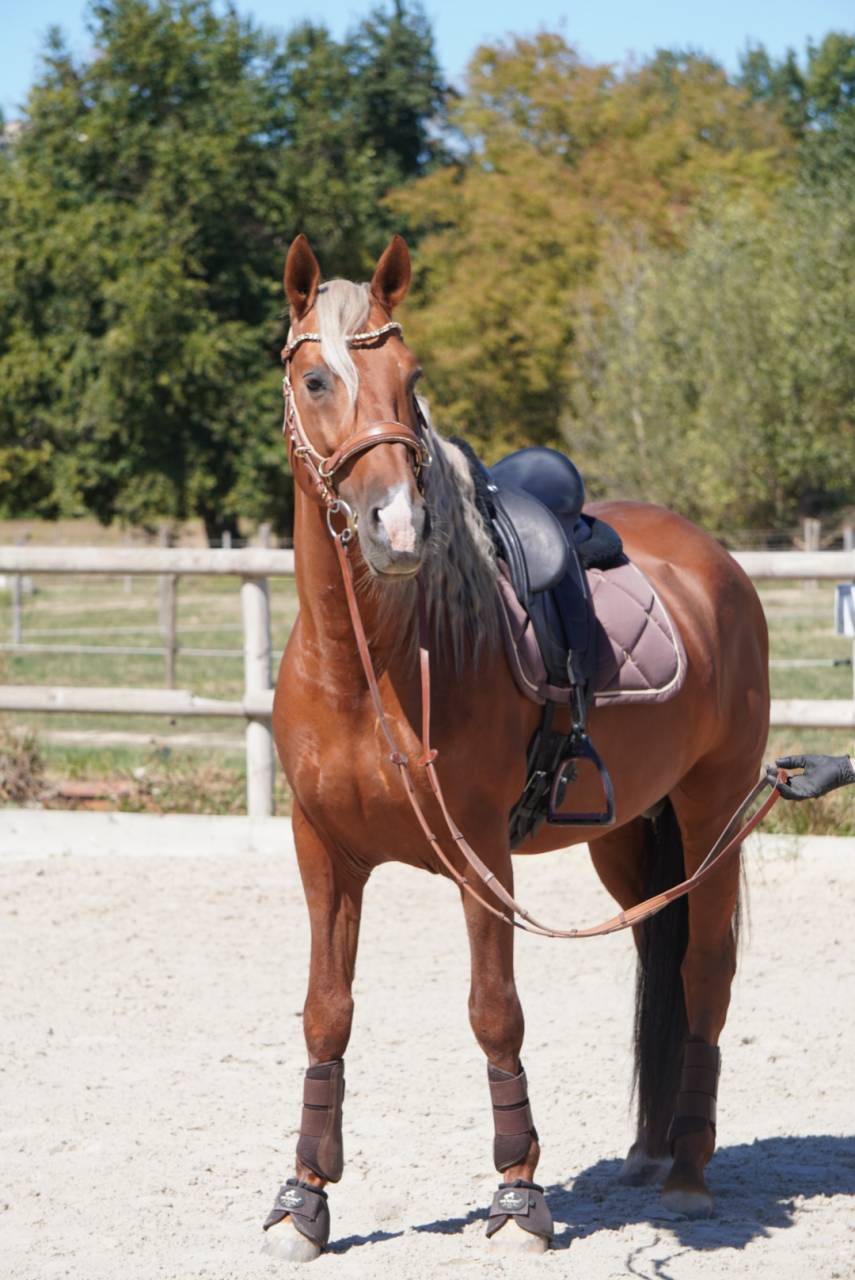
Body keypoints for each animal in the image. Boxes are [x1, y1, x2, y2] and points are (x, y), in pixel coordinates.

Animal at [262, 233, 770, 1260]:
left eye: (410, 378)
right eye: (315, 376)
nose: (396, 528)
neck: (369, 669)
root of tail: (718, 567)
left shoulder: (481, 857)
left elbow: (495, 1013)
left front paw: (518, 1194)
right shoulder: (323, 851)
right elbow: (326, 1012)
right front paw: (305, 1198)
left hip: (715, 808)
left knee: (703, 967)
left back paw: (689, 1171)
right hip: (631, 831)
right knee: (655, 950)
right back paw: (650, 1152)